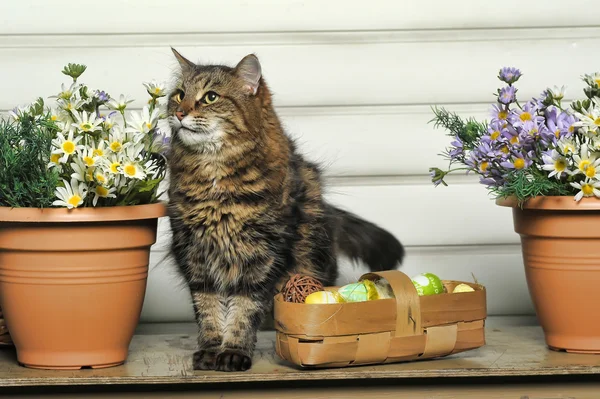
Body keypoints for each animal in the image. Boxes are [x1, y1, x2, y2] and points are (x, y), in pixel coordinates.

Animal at [166, 48, 406, 374]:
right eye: (179, 95)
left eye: (210, 97)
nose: (180, 113)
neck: (214, 175)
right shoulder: (195, 254)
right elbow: (208, 311)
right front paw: (210, 351)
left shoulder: (263, 254)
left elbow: (243, 311)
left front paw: (233, 353)